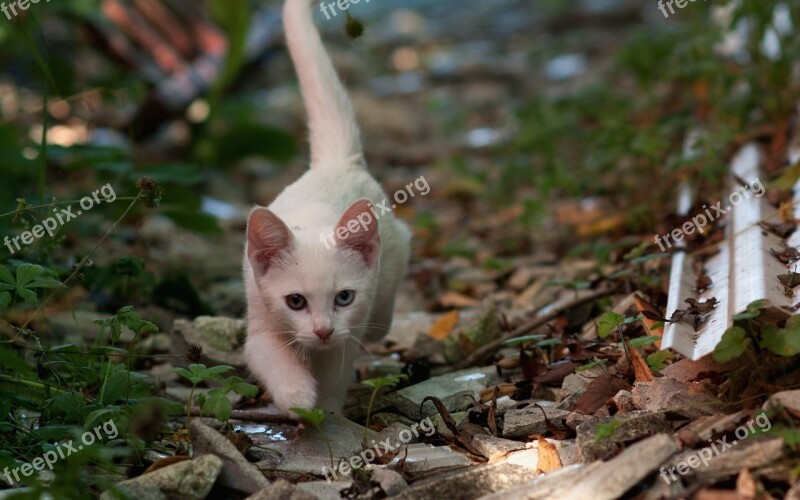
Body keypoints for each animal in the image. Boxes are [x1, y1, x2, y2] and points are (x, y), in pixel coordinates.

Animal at [242, 0, 406, 414]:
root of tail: (336, 162)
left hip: (394, 258)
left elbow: (335, 373)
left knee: (384, 307)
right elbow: (271, 357)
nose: (323, 330)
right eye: (295, 301)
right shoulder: (259, 318)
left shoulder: (347, 335)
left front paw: (327, 413)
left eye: (344, 297)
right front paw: (297, 395)